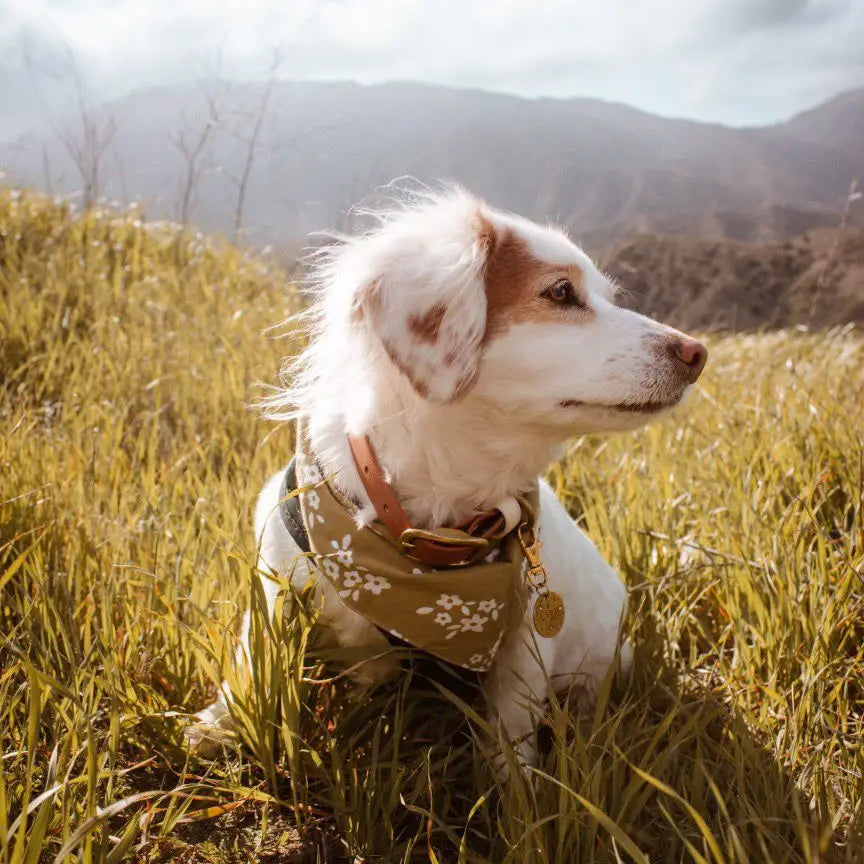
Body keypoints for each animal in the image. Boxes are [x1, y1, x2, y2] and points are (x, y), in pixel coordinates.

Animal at [186, 186, 704, 768]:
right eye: (561, 291)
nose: (697, 353)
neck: (430, 543)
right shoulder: (276, 589)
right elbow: (252, 665)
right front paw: (220, 724)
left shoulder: (525, 640)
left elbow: (511, 730)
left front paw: (519, 788)